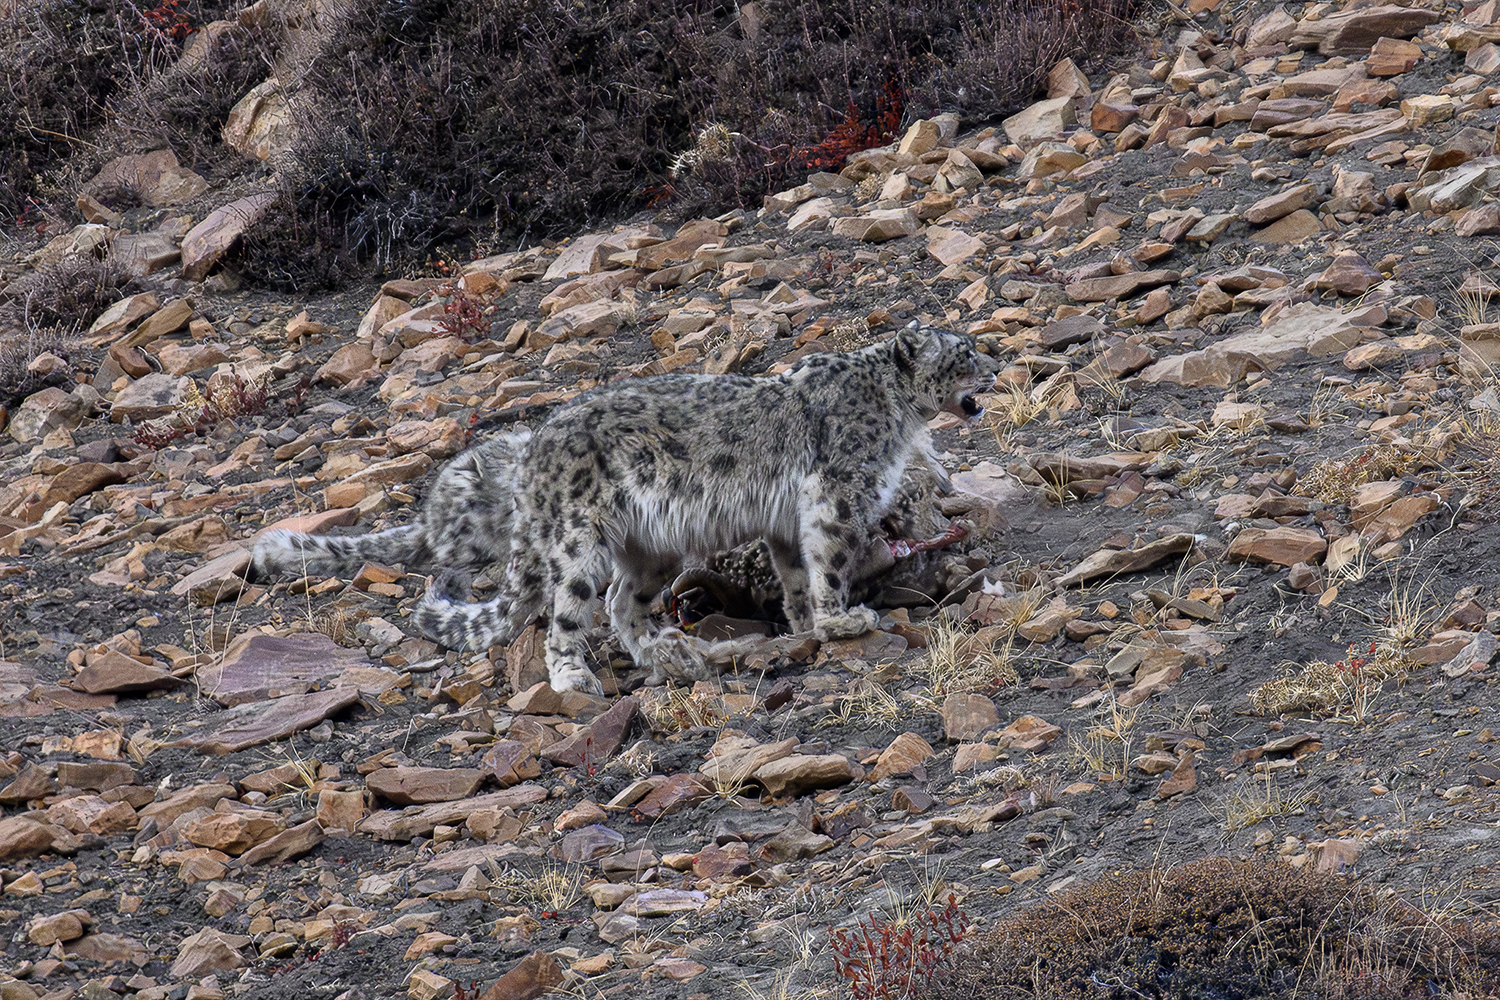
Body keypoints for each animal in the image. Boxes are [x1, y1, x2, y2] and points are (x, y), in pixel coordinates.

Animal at [250, 325, 998, 694]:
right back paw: (574, 677)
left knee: (619, 604)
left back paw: (669, 653)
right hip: (579, 542)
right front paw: (843, 619)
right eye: (963, 354)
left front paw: (808, 621)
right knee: (568, 613)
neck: (897, 414)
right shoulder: (836, 494)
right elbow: (833, 559)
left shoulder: (786, 523)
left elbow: (794, 573)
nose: (995, 367)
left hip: (652, 547)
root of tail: (533, 455)